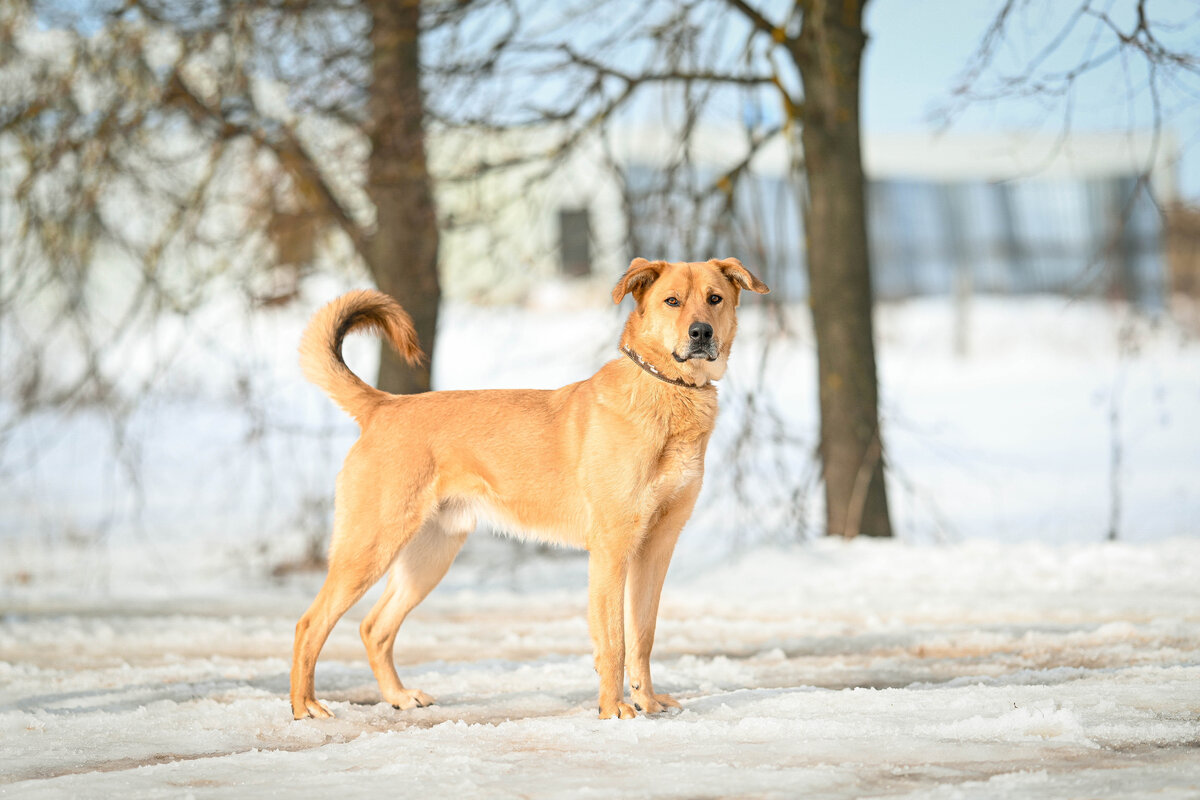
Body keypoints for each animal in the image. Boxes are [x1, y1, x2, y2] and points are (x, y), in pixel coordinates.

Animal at [295, 260, 772, 724]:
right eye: (672, 301)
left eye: (715, 298)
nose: (701, 333)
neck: (668, 392)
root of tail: (384, 405)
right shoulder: (612, 549)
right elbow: (613, 640)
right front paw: (612, 708)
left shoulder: (656, 548)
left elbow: (643, 634)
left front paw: (648, 702)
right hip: (369, 547)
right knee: (310, 624)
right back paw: (306, 707)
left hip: (429, 557)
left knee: (374, 628)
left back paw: (397, 697)